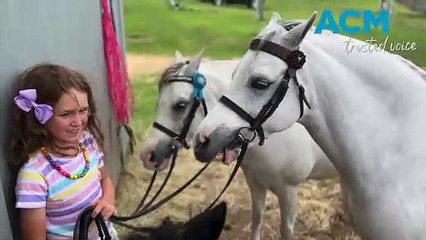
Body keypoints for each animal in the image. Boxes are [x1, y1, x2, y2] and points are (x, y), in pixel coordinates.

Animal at [140, 49, 336, 239]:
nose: (147, 156)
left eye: (180, 105)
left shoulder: (289, 191)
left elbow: (286, 230)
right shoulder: (255, 182)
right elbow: (257, 218)